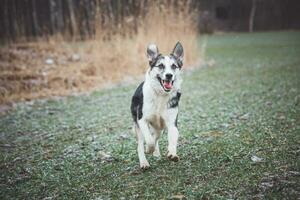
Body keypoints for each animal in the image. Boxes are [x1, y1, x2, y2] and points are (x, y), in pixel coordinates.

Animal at [131, 41, 184, 169]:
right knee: (140, 144)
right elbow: (149, 140)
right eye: (160, 66)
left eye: (174, 66)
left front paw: (172, 154)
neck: (160, 95)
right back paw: (144, 162)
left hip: (159, 126)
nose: (169, 75)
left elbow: (172, 139)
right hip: (138, 126)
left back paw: (156, 153)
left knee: (156, 136)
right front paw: (148, 149)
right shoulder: (142, 120)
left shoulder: (172, 123)